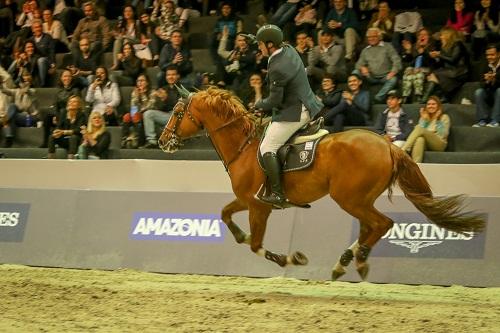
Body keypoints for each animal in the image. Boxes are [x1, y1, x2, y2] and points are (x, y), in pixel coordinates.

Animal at [159, 87, 484, 278]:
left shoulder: (258, 206)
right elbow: (226, 215)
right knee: (369, 227)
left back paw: (359, 260)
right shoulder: (246, 200)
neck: (245, 146)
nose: (162, 141)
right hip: (360, 199)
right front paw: (242, 236)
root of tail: (387, 144)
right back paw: (345, 260)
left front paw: (289, 259)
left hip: (349, 198)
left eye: (177, 112)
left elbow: (255, 245)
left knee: (382, 224)